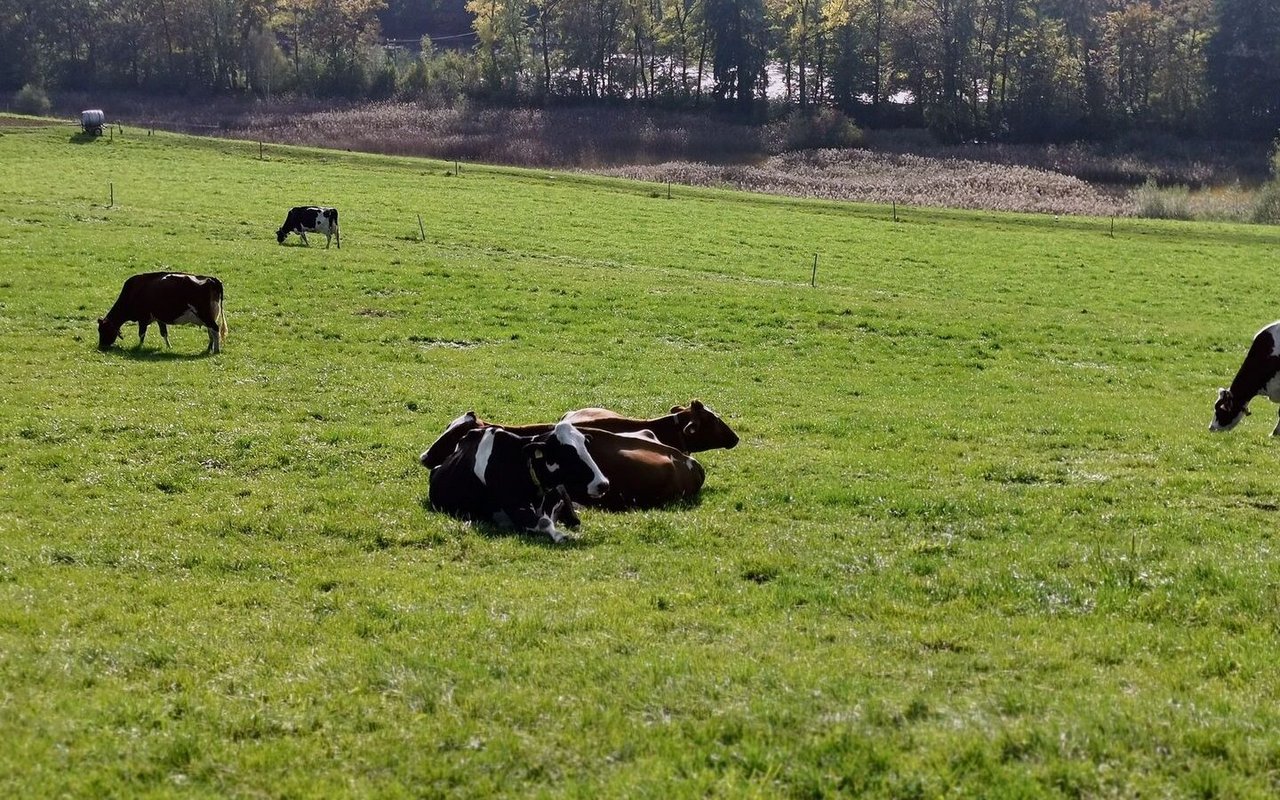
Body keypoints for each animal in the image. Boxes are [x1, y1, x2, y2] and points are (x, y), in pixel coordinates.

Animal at [96, 271, 226, 353]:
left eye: (103, 330)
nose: (102, 346)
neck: (132, 292)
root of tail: (212, 279)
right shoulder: (159, 319)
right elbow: (164, 333)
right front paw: (169, 347)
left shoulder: (143, 318)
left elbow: (141, 334)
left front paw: (139, 347)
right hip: (210, 316)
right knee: (211, 332)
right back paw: (209, 349)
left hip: (205, 315)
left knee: (215, 329)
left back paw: (216, 350)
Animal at [427, 417, 611, 542]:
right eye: (567, 454)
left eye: (586, 447)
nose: (603, 484)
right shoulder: (517, 508)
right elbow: (544, 522)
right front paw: (561, 535)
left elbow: (573, 520)